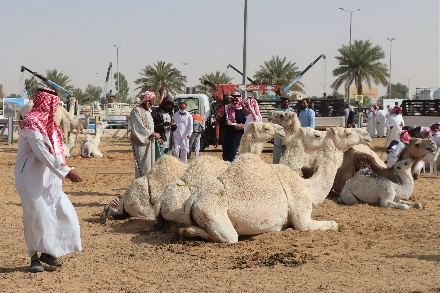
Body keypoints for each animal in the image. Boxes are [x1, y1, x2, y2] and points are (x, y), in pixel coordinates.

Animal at [178, 126, 364, 243]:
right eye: (347, 133)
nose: (366, 135)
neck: (308, 188)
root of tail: (191, 201)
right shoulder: (302, 217)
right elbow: (332, 224)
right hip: (213, 214)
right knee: (229, 236)